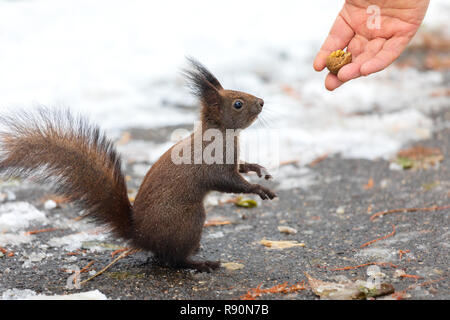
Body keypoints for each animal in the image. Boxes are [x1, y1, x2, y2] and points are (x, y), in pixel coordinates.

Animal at [0, 58, 276, 272]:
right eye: (238, 103)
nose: (262, 101)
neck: (220, 133)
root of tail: (142, 237)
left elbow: (240, 168)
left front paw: (257, 169)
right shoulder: (213, 163)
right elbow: (229, 182)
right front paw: (258, 190)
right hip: (189, 219)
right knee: (173, 260)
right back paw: (200, 263)